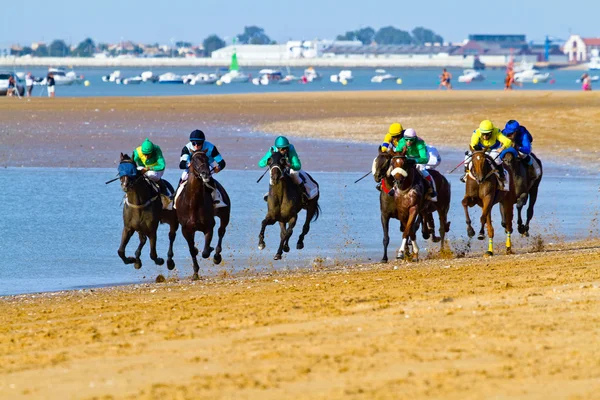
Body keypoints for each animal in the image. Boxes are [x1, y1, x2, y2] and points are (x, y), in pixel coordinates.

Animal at [175, 151, 231, 282]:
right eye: (194, 160)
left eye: (206, 158)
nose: (206, 173)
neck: (193, 203)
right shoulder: (186, 229)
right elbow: (192, 250)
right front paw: (195, 273)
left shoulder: (209, 227)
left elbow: (205, 252)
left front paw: (211, 251)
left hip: (225, 214)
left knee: (221, 231)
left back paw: (217, 256)